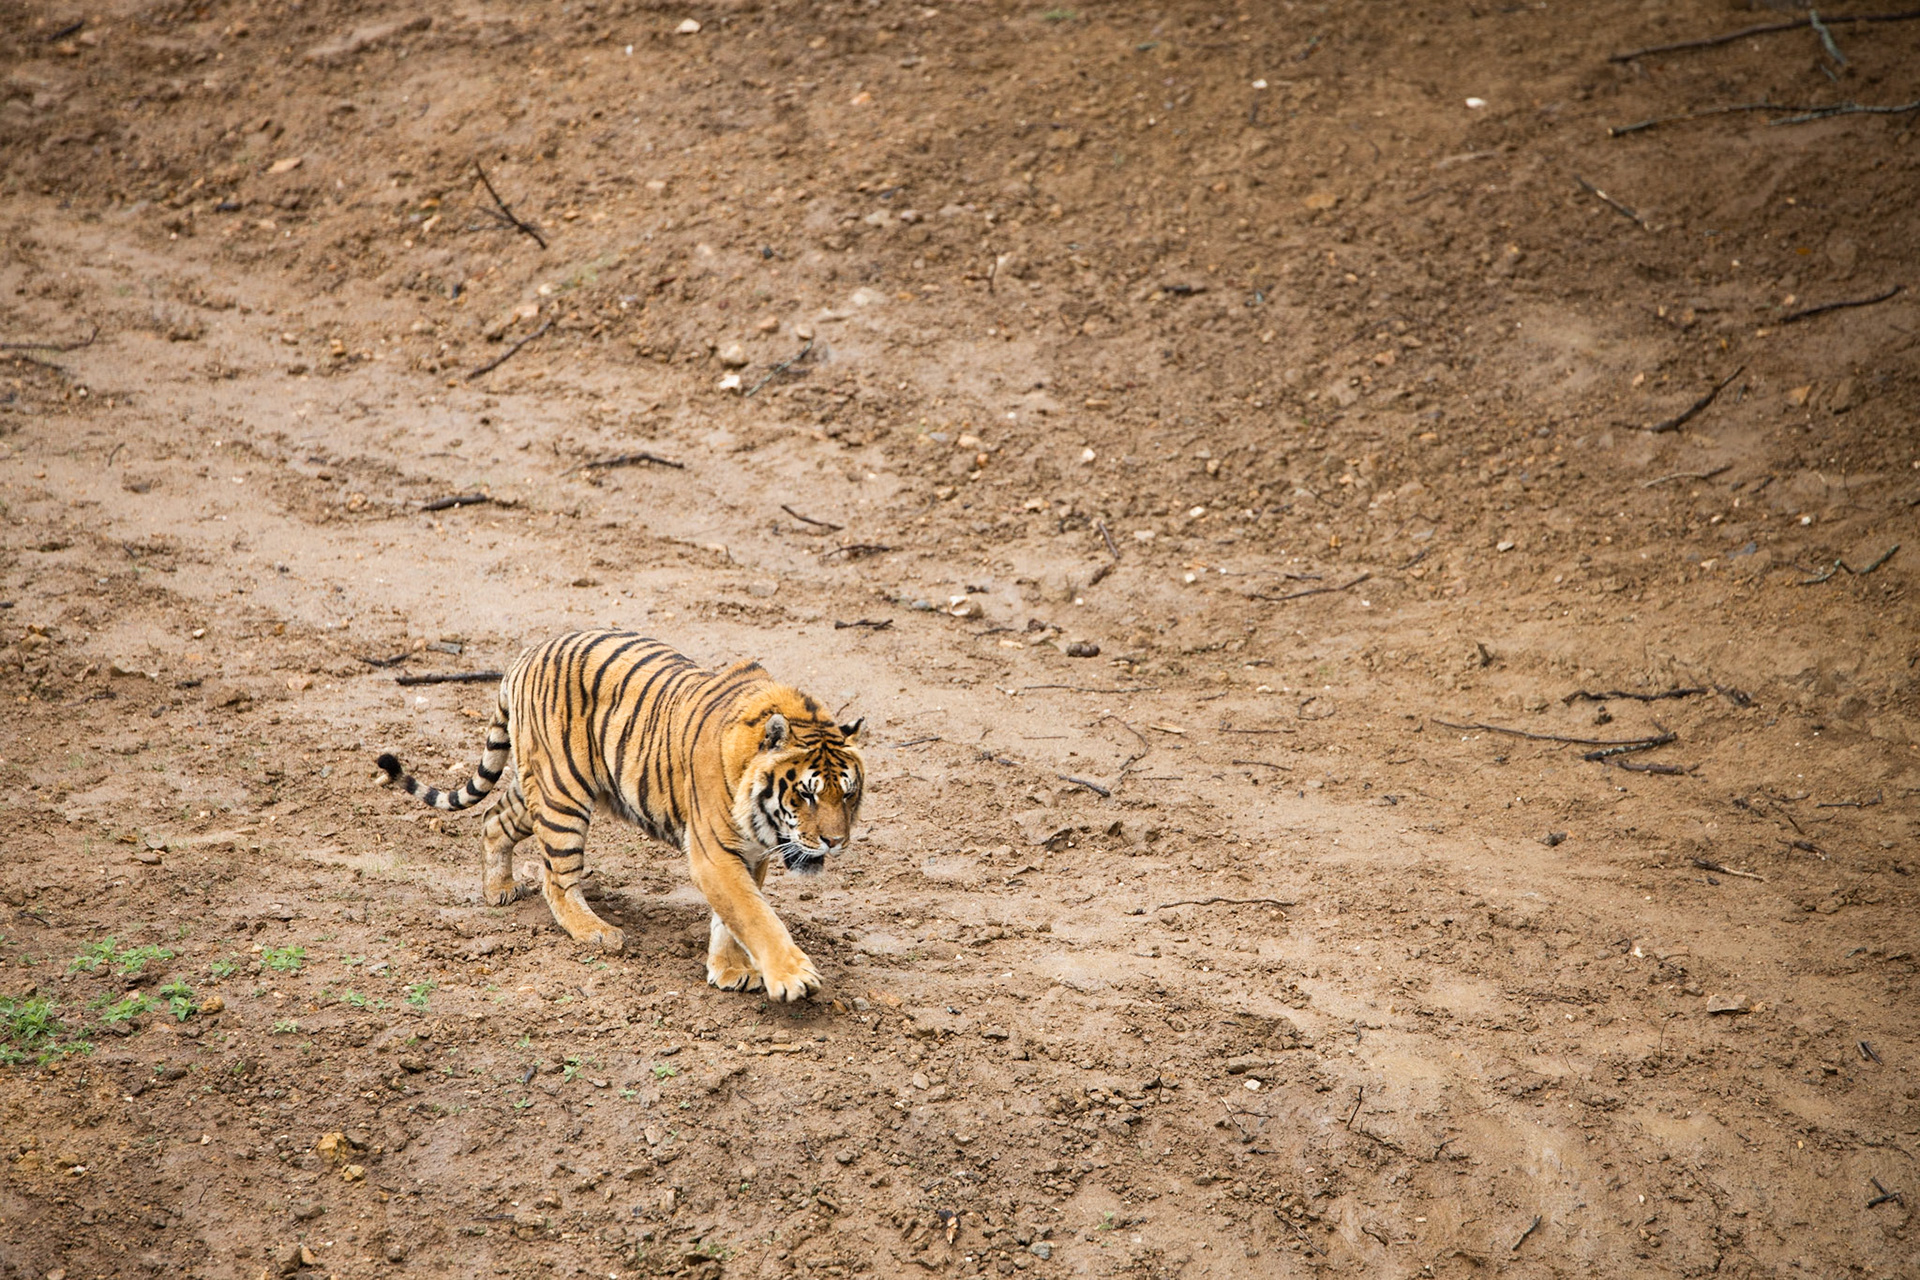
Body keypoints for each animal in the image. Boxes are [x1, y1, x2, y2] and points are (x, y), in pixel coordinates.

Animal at [374, 630, 865, 1002]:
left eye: (849, 795)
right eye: (806, 794)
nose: (835, 842)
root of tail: (524, 656)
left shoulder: (752, 853)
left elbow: (733, 918)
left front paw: (729, 970)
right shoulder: (714, 853)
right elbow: (754, 915)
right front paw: (793, 976)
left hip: (538, 785)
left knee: (494, 818)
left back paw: (499, 889)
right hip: (563, 795)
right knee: (557, 878)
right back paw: (596, 932)